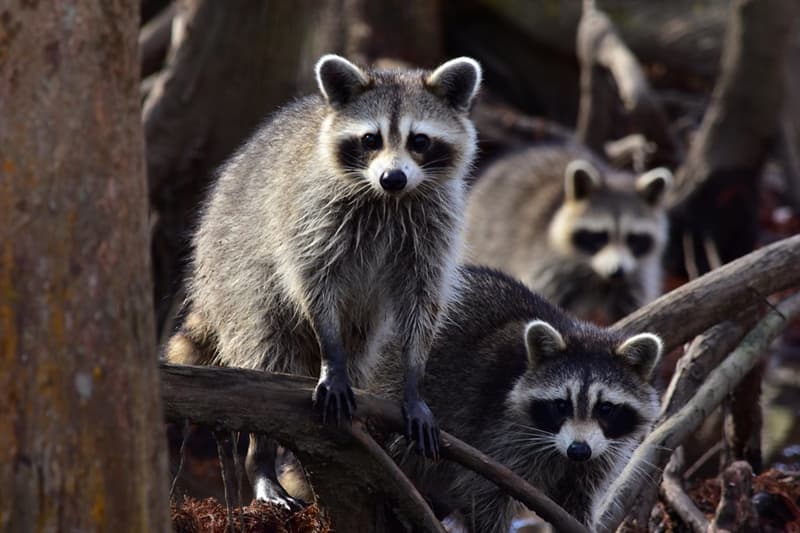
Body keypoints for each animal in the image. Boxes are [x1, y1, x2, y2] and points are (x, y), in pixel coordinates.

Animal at [165, 55, 482, 508]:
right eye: (370, 139)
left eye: (419, 140)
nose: (393, 177)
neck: (388, 200)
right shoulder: (313, 212)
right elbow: (314, 280)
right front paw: (332, 357)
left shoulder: (433, 225)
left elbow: (423, 299)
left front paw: (413, 376)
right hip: (237, 273)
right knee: (265, 350)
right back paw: (261, 461)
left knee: (362, 348)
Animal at [368, 266, 664, 528]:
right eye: (561, 405)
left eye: (605, 408)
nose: (578, 450)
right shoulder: (498, 434)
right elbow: (482, 491)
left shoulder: (599, 455)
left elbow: (577, 497)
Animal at [466, 144, 672, 324]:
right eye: (600, 236)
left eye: (633, 238)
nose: (616, 271)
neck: (596, 274)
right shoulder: (547, 262)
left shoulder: (636, 272)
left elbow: (633, 305)